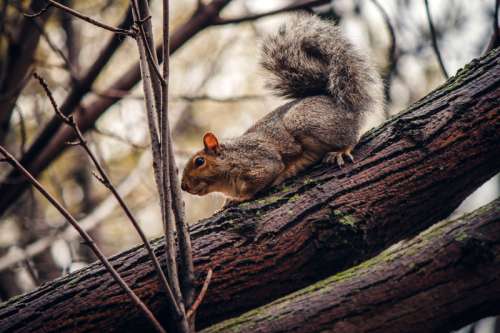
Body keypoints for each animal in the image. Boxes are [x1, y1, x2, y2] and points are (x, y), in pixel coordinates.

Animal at [182, 13, 384, 202]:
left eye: (199, 161)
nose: (183, 187)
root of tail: (342, 106)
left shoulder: (259, 161)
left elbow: (264, 176)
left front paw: (238, 199)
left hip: (303, 121)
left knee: (351, 137)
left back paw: (342, 150)